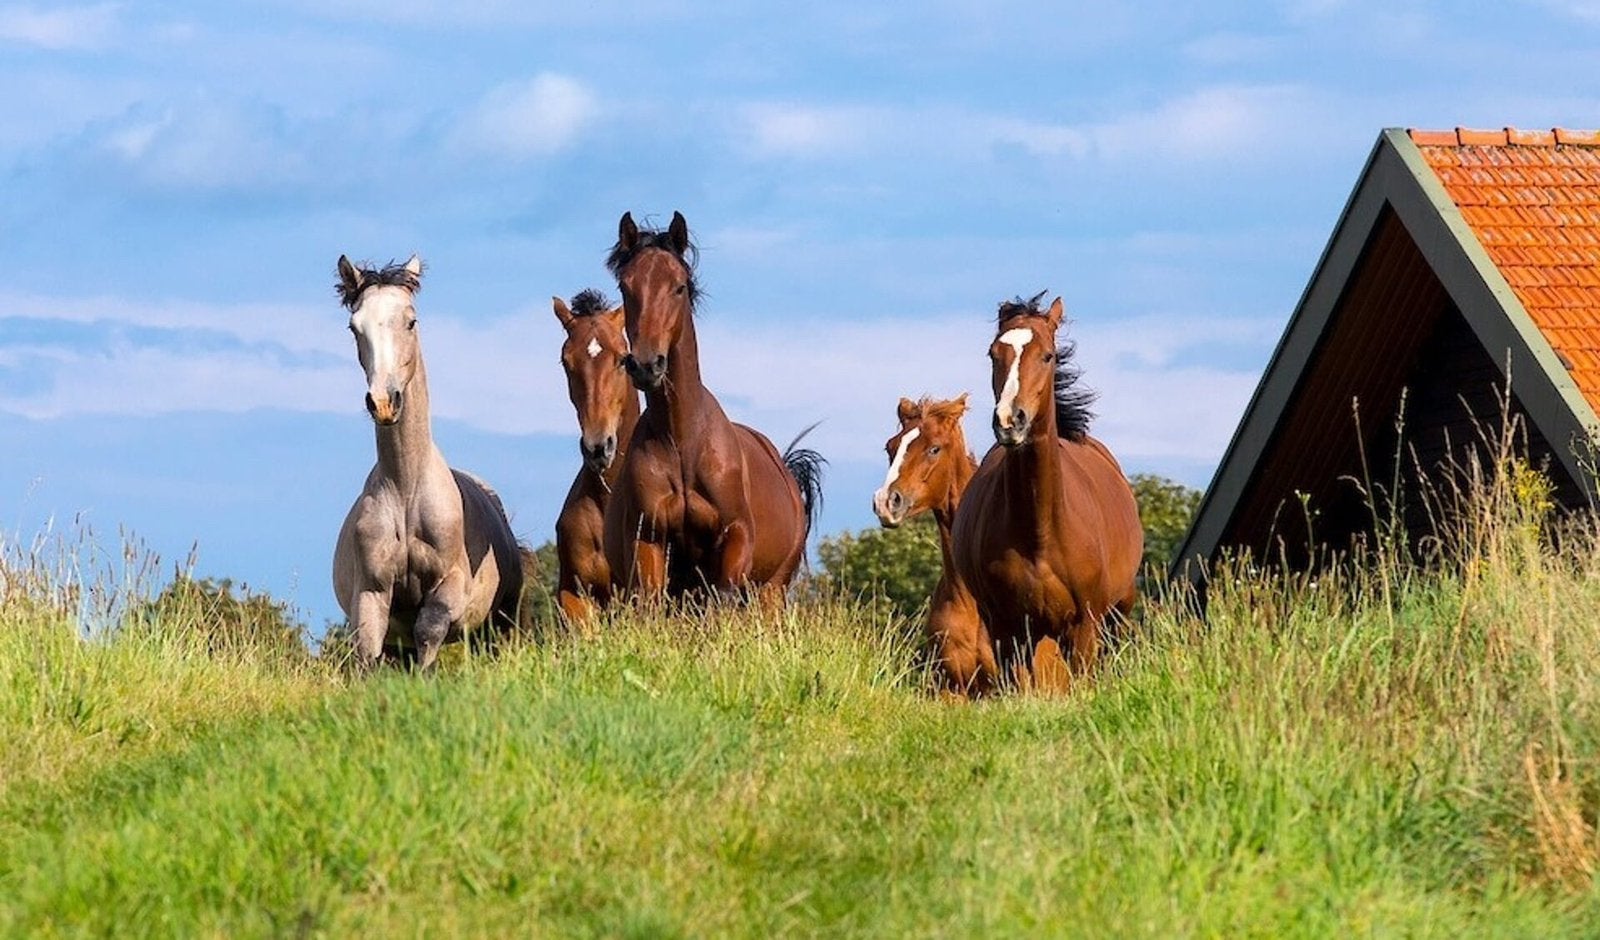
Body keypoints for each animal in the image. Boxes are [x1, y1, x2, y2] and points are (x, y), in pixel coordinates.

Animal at [331, 255, 524, 669]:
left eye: (411, 320)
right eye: (354, 327)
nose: (383, 402)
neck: (407, 492)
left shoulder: (448, 586)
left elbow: (430, 630)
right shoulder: (371, 593)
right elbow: (369, 651)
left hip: (499, 621)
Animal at [602, 211, 824, 602]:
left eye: (679, 286)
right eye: (626, 288)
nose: (646, 365)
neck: (682, 441)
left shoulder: (735, 537)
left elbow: (723, 598)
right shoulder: (650, 541)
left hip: (773, 588)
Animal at [950, 293, 1141, 691]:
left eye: (1048, 355)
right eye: (993, 354)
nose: (1010, 420)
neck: (1039, 533)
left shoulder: (1083, 628)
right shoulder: (1008, 630)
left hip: (1116, 615)